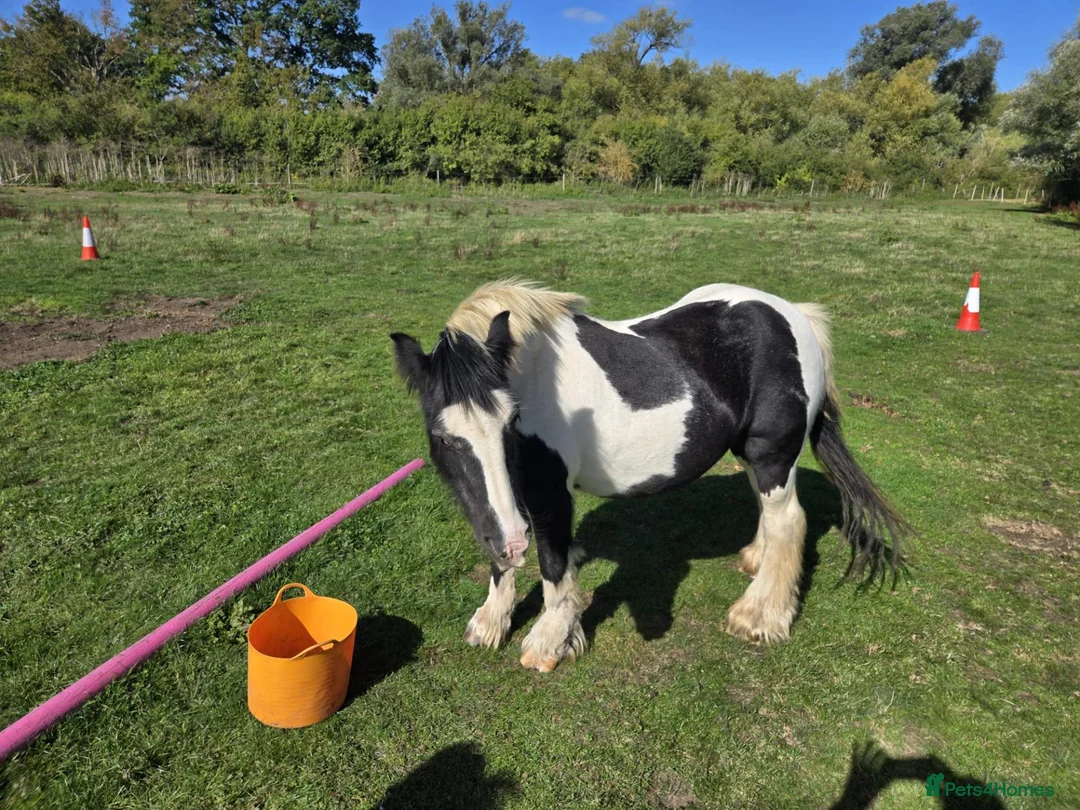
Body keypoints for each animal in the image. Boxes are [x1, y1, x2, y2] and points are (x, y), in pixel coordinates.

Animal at [391, 281, 907, 672]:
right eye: (443, 438)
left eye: (510, 421)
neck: (534, 377)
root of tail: (794, 316)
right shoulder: (499, 505)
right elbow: (501, 554)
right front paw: (490, 623)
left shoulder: (549, 493)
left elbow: (552, 563)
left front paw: (549, 642)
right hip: (750, 454)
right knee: (771, 514)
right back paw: (755, 560)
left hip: (771, 455)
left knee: (789, 522)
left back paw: (760, 617)